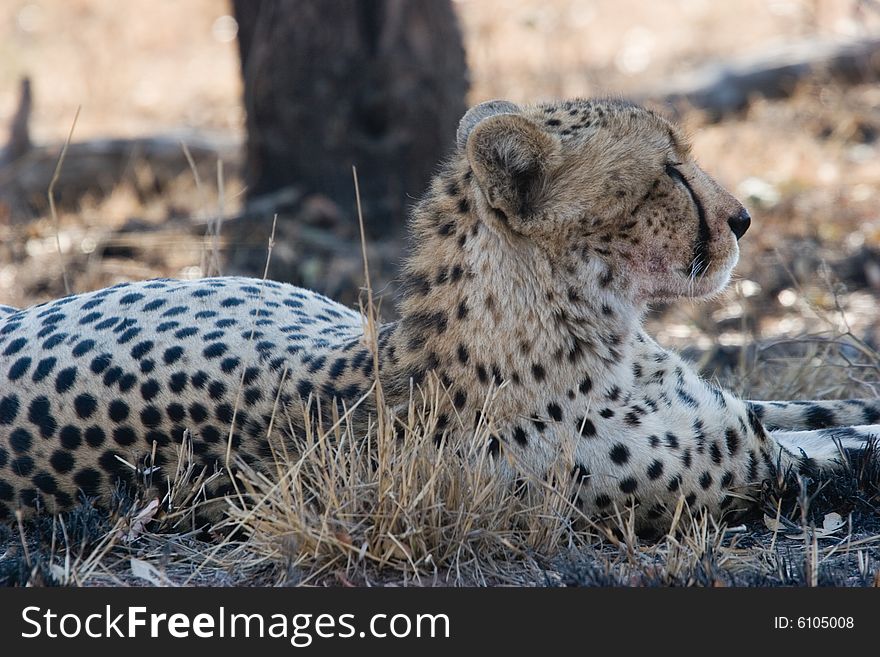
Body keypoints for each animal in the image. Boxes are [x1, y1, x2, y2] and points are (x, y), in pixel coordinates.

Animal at [1, 98, 880, 532]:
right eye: (668, 171)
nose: (743, 219)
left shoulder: (743, 414)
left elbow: (831, 408)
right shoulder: (750, 468)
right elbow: (845, 446)